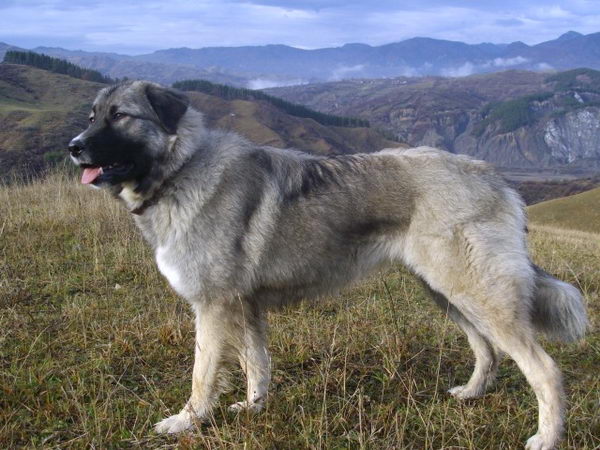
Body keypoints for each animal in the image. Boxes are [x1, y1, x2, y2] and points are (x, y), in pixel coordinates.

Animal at [69, 81, 584, 450]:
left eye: (120, 116)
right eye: (92, 116)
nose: (74, 146)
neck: (181, 169)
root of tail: (494, 176)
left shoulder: (213, 308)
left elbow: (202, 375)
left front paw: (187, 422)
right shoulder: (244, 306)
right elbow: (256, 363)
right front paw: (254, 409)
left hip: (476, 293)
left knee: (544, 369)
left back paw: (547, 437)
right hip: (447, 292)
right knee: (487, 350)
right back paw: (472, 394)